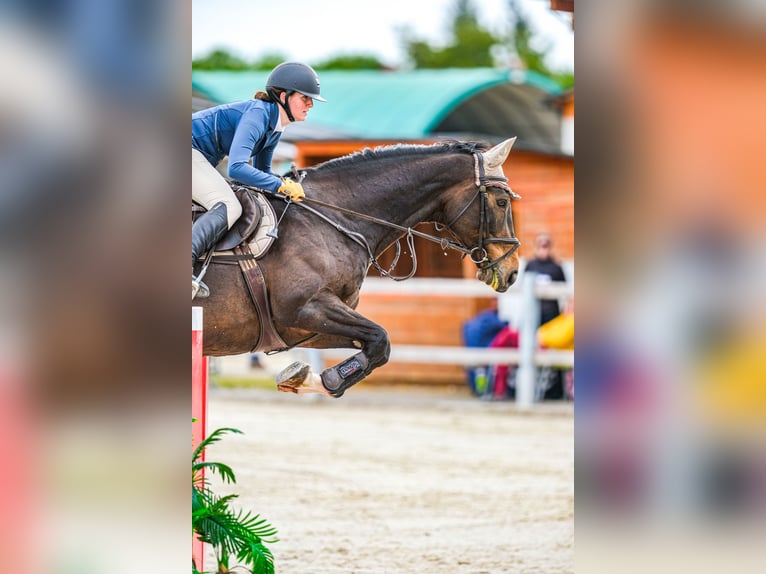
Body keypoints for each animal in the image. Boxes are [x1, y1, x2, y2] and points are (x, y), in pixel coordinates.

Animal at [194, 138, 521, 398]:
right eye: (502, 202)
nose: (512, 271)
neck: (334, 218)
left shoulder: (304, 329)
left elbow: (376, 346)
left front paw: (305, 379)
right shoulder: (306, 308)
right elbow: (380, 340)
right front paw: (328, 380)